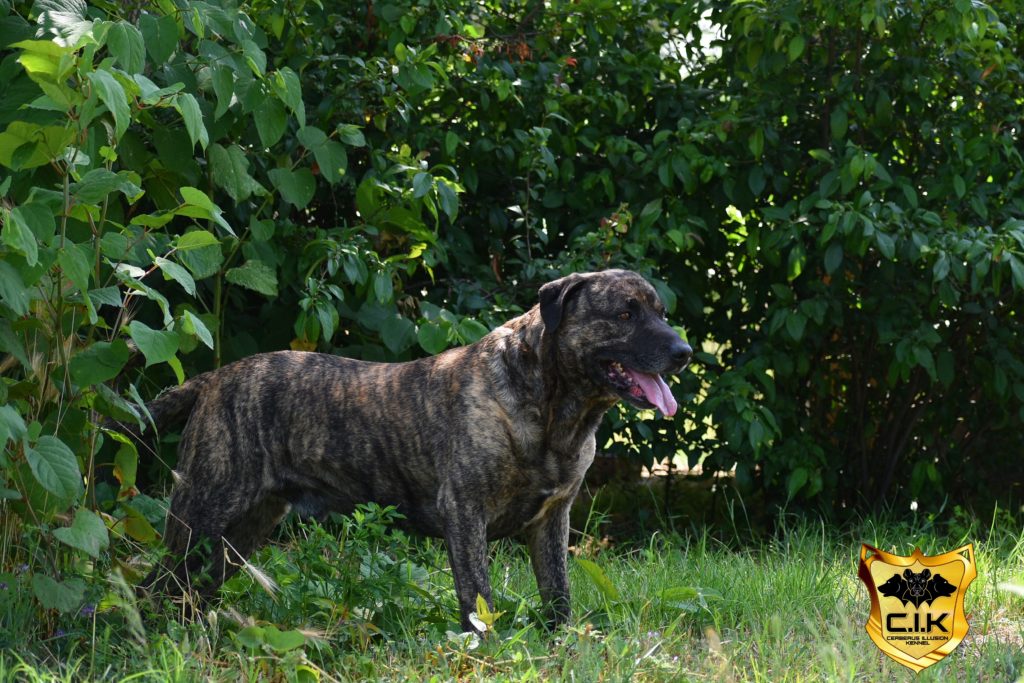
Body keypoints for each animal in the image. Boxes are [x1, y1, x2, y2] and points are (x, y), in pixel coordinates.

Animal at [132, 270, 692, 634]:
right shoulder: (465, 513)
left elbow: (558, 595)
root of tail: (214, 378)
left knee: (188, 590)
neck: (555, 411)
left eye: (662, 312)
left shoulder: (553, 520)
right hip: (203, 512)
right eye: (625, 313)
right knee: (154, 587)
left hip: (240, 532)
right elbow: (477, 597)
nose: (684, 351)